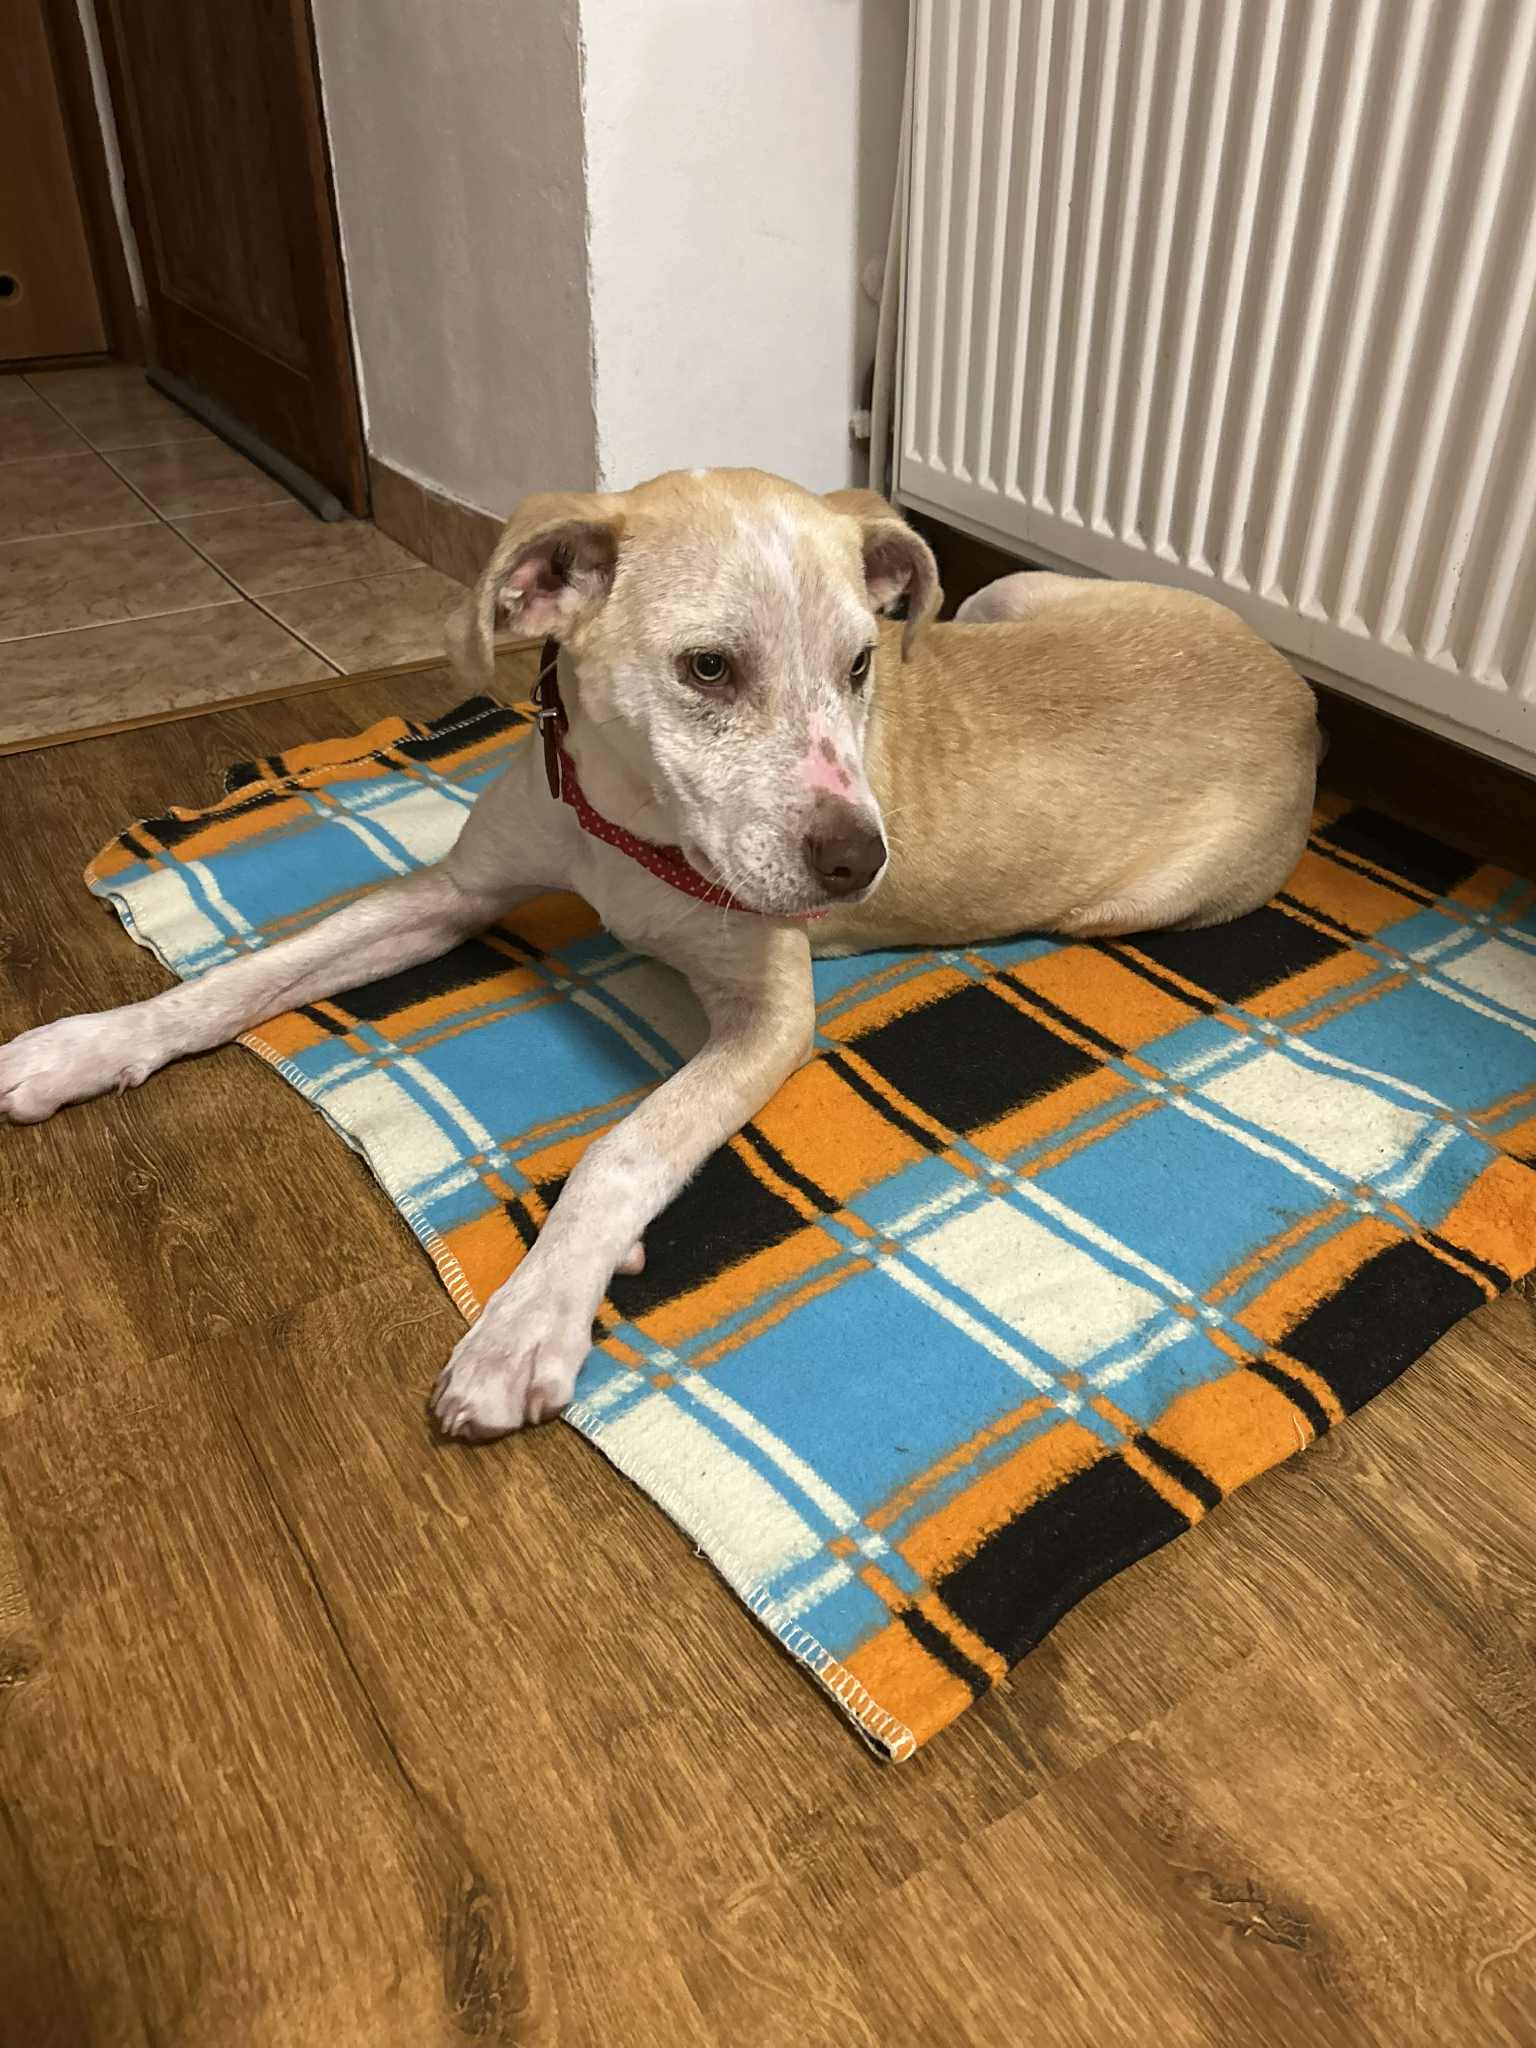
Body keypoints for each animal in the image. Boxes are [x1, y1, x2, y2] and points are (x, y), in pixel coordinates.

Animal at [0, 470, 1320, 1439]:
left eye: (857, 668)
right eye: (708, 667)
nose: (862, 862)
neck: (637, 832)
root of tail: (1302, 695)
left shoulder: (772, 1015)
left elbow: (629, 1144)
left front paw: (533, 1315)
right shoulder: (453, 895)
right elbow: (245, 976)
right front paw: (85, 1045)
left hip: (1121, 884)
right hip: (1006, 602)